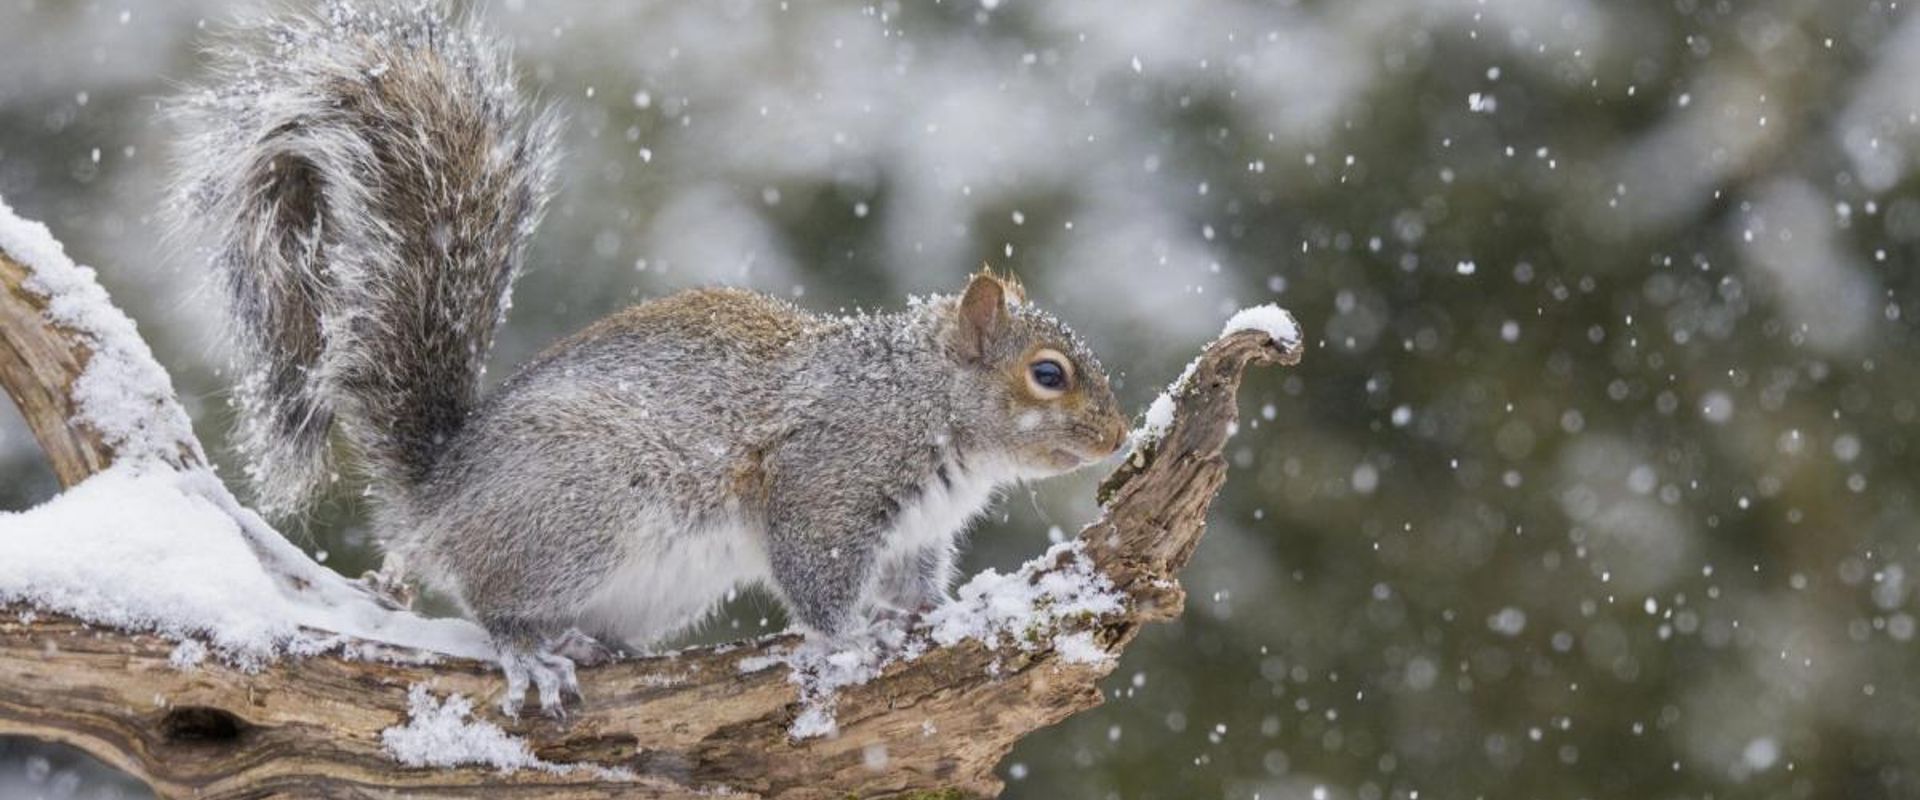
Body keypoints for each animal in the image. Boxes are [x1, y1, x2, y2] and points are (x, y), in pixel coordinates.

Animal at [168, 0, 1126, 716]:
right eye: (1048, 374)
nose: (1117, 439)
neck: (923, 400)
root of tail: (439, 496)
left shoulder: (919, 531)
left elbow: (917, 578)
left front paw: (932, 610)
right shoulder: (826, 479)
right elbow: (815, 578)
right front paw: (858, 637)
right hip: (579, 513)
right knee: (492, 599)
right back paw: (531, 651)